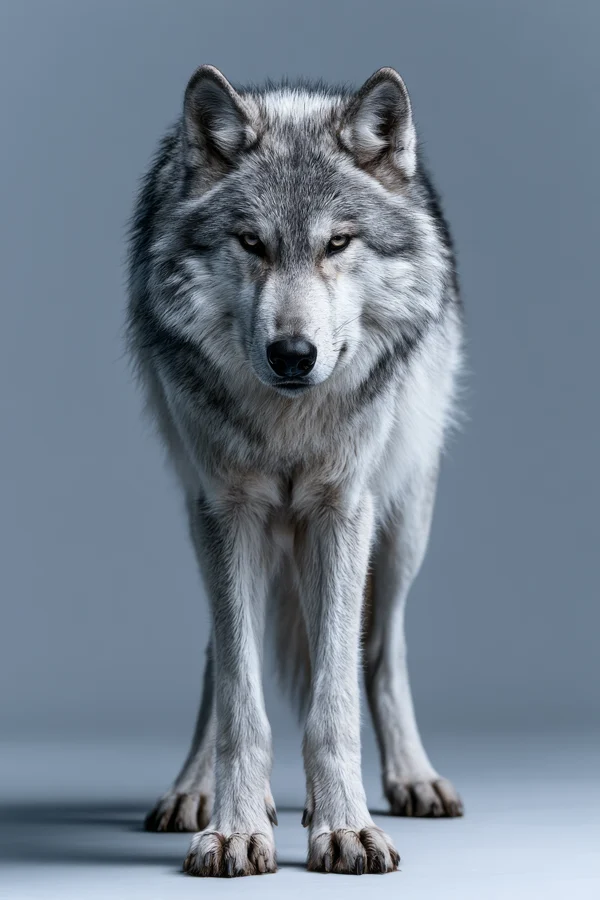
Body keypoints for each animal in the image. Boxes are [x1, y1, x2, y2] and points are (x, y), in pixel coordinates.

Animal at [126, 64, 464, 877]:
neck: (287, 422)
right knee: (220, 661)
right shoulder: (229, 512)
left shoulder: (342, 510)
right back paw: (194, 791)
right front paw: (235, 829)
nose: (292, 355)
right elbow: (240, 700)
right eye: (252, 242)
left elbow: (334, 699)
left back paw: (410, 779)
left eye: (337, 242)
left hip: (401, 530)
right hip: (205, 522)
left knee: (379, 652)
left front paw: (344, 828)